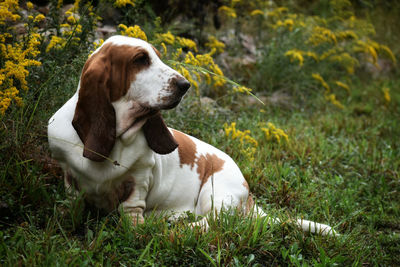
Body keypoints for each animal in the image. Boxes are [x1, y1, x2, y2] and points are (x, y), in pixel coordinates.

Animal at [47, 35, 338, 237]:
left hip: (217, 193)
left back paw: (174, 228)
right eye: (140, 59)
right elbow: (72, 202)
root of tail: (251, 200)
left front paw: (138, 231)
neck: (118, 137)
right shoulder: (69, 176)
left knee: (213, 223)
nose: (184, 85)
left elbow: (131, 210)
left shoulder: (138, 182)